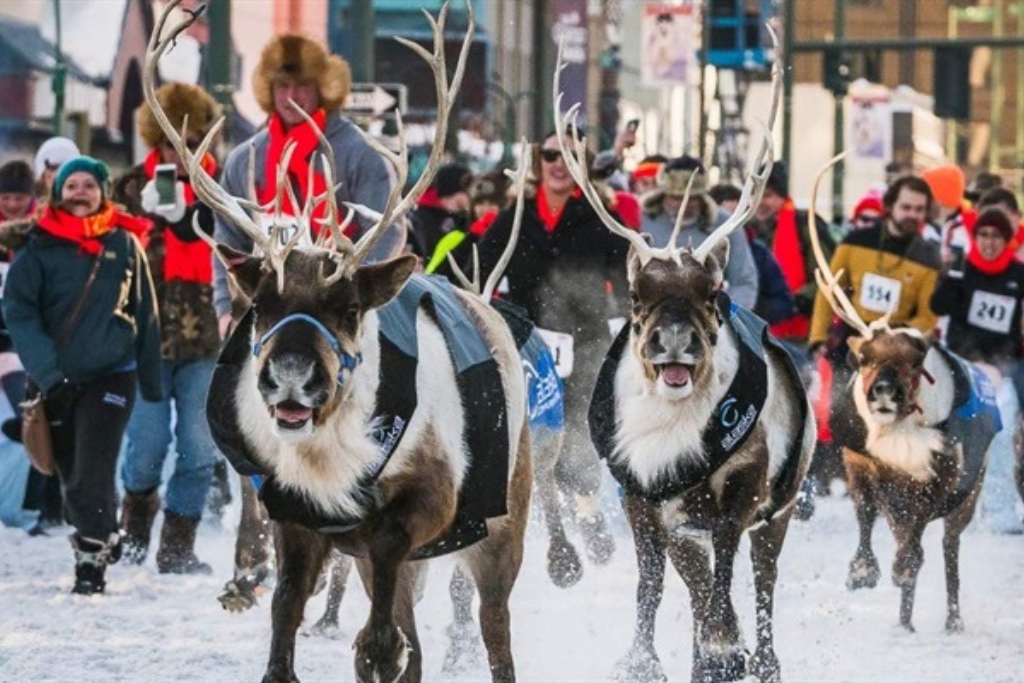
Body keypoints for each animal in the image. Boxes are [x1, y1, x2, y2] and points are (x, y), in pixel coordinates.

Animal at [146, 3, 531, 682]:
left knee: (493, 631)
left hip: (501, 527)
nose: (292, 377)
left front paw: (369, 647)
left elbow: (383, 603)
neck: (328, 459)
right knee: (413, 633)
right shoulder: (293, 513)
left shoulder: (427, 503)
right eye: (261, 306)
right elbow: (285, 608)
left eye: (349, 308)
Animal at [554, 37, 814, 683]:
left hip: (782, 504)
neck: (670, 436)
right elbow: (653, 585)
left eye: (711, 294)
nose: (674, 342)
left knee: (760, 581)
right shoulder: (643, 496)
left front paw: (725, 651)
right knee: (694, 581)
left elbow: (724, 578)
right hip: (683, 519)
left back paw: (760, 658)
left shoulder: (743, 487)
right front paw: (643, 661)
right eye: (636, 297)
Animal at [808, 153, 1001, 634]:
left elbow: (915, 546)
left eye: (916, 362)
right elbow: (865, 515)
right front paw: (862, 571)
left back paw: (951, 619)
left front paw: (898, 569)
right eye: (863, 358)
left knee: (949, 551)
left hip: (970, 498)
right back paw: (904, 620)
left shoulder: (940, 479)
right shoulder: (861, 463)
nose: (883, 392)